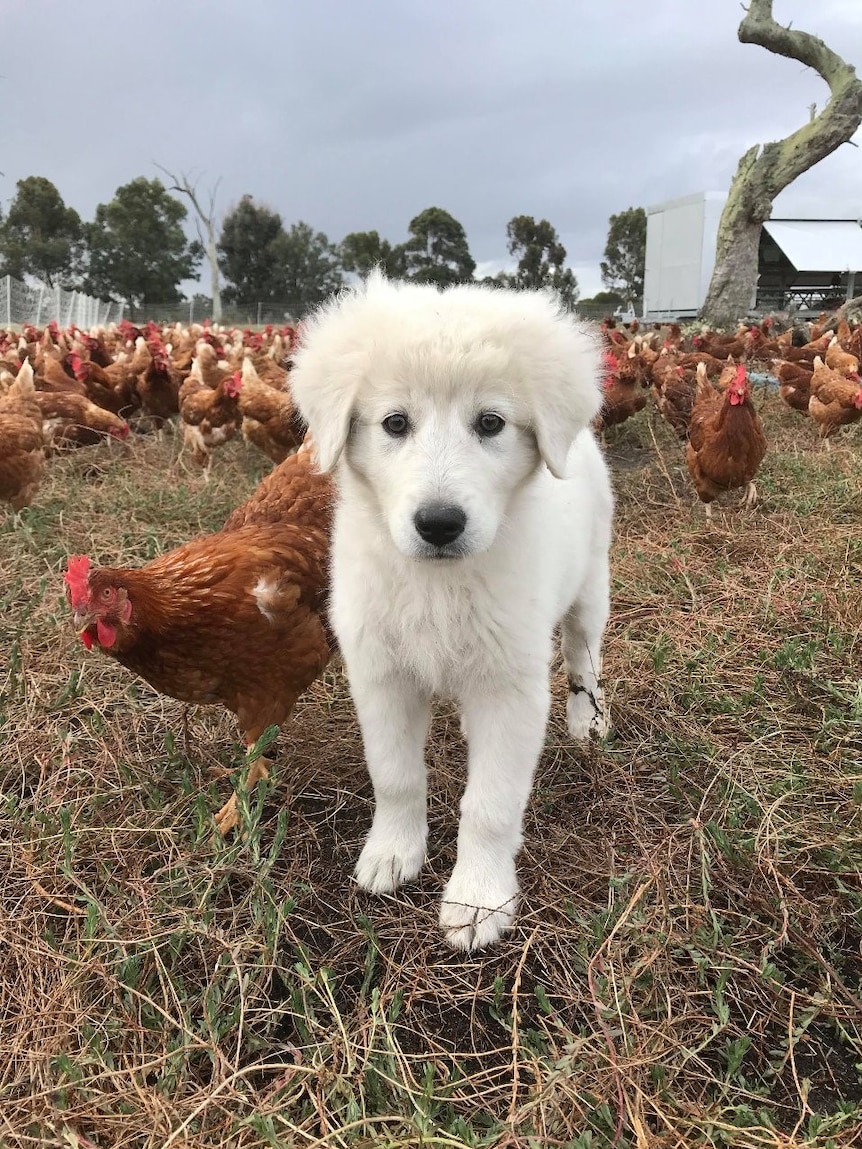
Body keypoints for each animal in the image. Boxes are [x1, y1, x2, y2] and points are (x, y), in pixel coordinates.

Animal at [290, 271, 616, 951]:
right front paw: (392, 853)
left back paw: (587, 719)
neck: (437, 584)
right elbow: (395, 775)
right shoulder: (380, 675)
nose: (439, 524)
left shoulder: (511, 687)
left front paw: (478, 899)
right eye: (395, 422)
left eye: (490, 422)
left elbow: (490, 803)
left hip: (590, 586)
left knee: (582, 656)